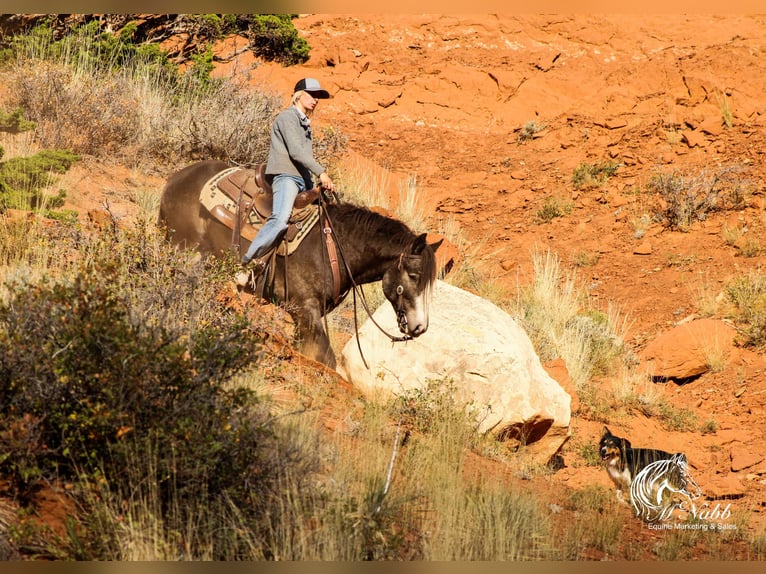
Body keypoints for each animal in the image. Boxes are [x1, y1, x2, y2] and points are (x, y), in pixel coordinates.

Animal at [158, 160, 444, 372]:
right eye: (413, 275)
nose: (420, 327)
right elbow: (325, 359)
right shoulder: (305, 309)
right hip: (184, 251)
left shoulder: (305, 317)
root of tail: (178, 177)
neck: (336, 246)